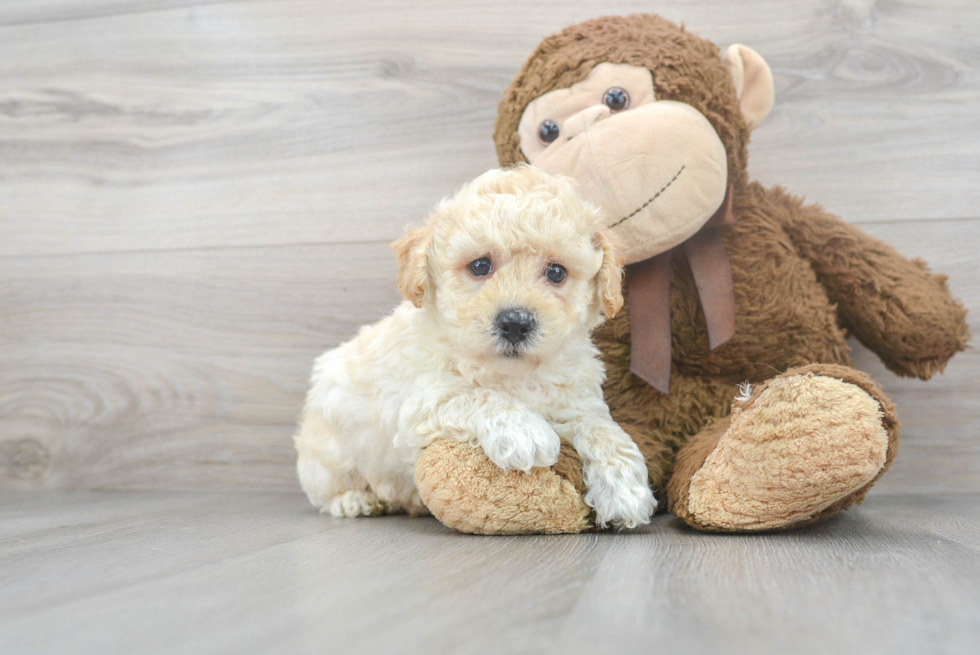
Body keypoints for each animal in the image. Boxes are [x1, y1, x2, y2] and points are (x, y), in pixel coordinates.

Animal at [294, 167, 656, 532]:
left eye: (556, 272)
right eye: (480, 266)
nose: (515, 323)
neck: (514, 374)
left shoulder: (576, 403)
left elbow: (603, 429)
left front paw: (626, 491)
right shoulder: (418, 400)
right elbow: (472, 393)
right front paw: (525, 432)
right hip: (328, 457)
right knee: (325, 493)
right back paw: (355, 500)